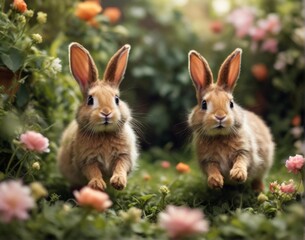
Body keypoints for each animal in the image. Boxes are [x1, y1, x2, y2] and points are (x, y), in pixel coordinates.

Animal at [57, 42, 138, 190]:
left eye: (117, 99)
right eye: (90, 100)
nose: (106, 113)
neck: (104, 134)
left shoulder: (124, 155)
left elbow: (121, 166)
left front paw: (118, 182)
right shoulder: (87, 160)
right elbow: (92, 170)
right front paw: (97, 185)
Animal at [186, 48, 274, 191]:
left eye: (231, 103)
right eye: (204, 104)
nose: (220, 116)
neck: (220, 136)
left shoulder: (245, 150)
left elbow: (242, 161)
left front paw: (238, 175)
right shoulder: (208, 160)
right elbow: (212, 168)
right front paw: (215, 181)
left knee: (258, 178)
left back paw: (258, 189)